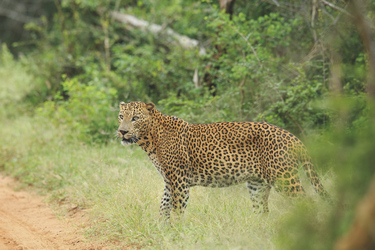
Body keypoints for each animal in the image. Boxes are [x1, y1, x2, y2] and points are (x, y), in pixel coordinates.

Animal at [117, 101, 328, 219]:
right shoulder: (169, 181)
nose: (122, 131)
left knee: (307, 201)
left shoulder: (179, 180)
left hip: (284, 179)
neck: (150, 139)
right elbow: (164, 206)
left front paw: (177, 232)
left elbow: (177, 208)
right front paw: (162, 230)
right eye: (121, 116)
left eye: (135, 118)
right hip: (257, 185)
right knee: (262, 211)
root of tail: (292, 137)